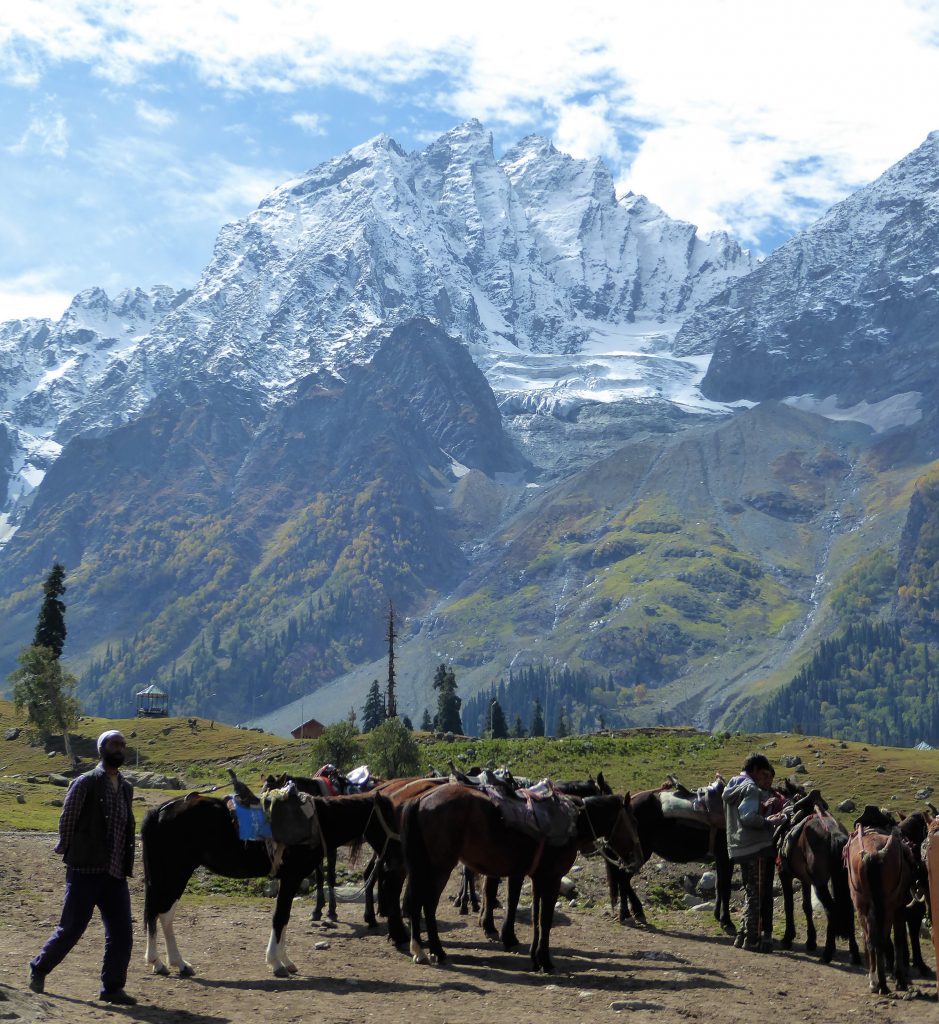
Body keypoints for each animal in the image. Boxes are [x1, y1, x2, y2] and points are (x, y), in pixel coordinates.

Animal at [399, 778, 643, 970]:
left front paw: (535, 957)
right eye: (633, 820)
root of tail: (421, 799)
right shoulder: (551, 878)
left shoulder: (536, 877)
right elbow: (544, 918)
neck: (573, 820)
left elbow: (535, 916)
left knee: (416, 902)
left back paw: (420, 949)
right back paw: (436, 951)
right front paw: (544, 960)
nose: (637, 857)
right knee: (428, 904)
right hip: (439, 866)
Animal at [847, 815, 913, 991]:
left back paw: (874, 980)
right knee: (881, 940)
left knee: (871, 939)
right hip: (887, 906)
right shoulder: (899, 908)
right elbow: (898, 940)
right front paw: (900, 978)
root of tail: (873, 854)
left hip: (863, 906)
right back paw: (882, 983)